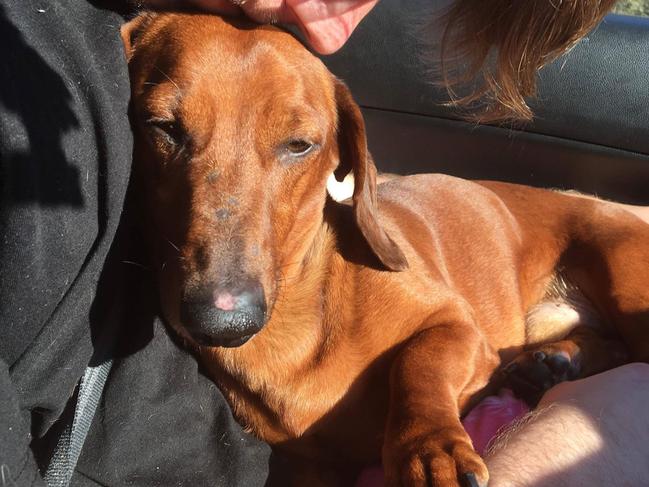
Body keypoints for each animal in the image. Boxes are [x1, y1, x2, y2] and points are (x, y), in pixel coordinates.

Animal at [121, 13, 648, 487]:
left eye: (299, 145)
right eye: (161, 126)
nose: (224, 320)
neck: (302, 314)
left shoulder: (458, 325)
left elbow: (417, 362)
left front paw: (430, 451)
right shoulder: (310, 467)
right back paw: (557, 360)